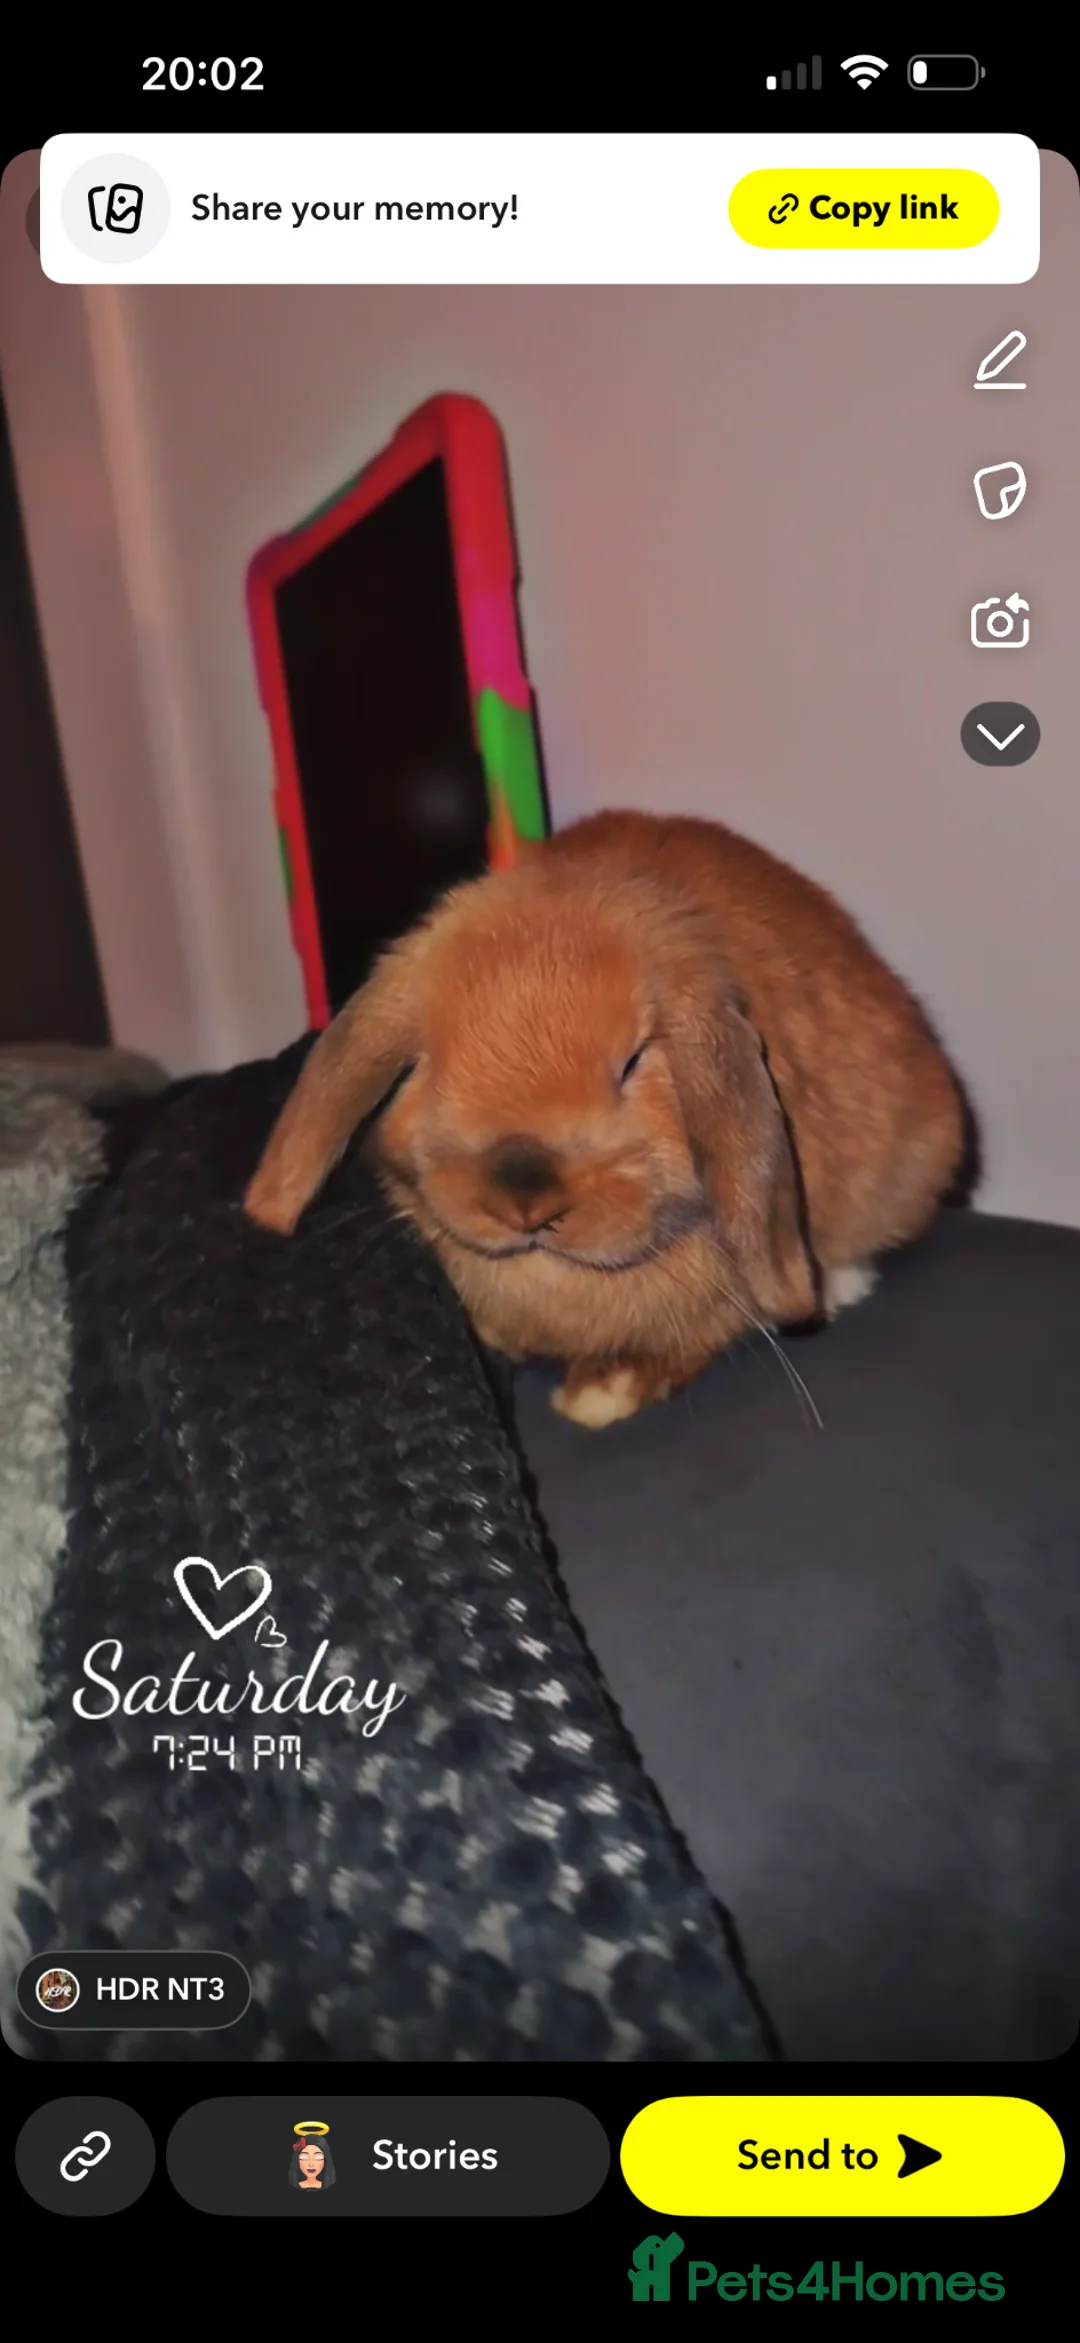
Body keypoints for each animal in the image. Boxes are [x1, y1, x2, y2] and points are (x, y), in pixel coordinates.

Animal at [244, 810, 967, 1428]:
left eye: (633, 1063)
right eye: (427, 1062)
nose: (524, 1197)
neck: (553, 1274)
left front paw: (600, 1393)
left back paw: (840, 1284)